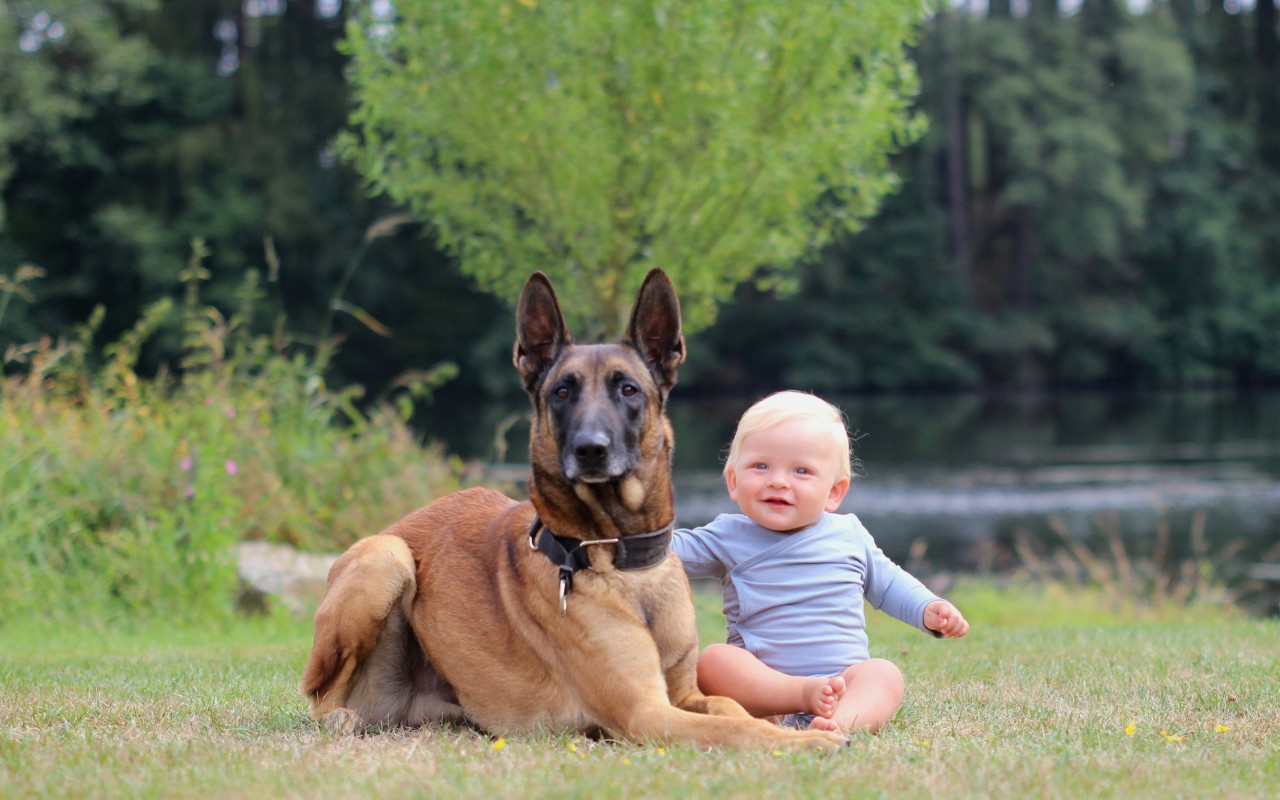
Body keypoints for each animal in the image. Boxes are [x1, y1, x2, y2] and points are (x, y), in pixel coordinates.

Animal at [295, 268, 844, 747]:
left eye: (628, 389)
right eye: (562, 391)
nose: (590, 449)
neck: (620, 559)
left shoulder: (684, 692)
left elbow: (732, 707)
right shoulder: (647, 713)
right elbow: (738, 729)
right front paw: (807, 743)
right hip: (385, 557)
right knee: (320, 699)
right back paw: (341, 717)